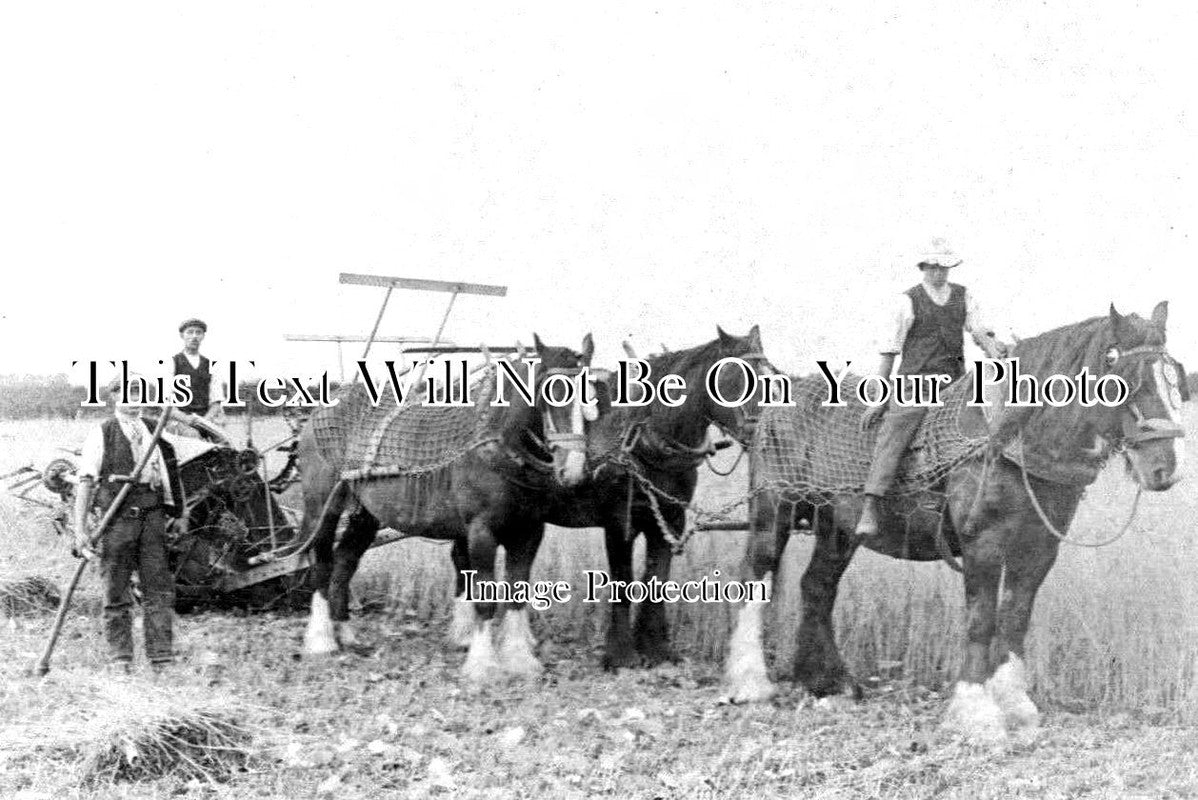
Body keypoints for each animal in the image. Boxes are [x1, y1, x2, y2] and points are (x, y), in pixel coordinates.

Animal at [297, 332, 596, 680]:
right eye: (552, 394)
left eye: (592, 396)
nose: (573, 470)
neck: (499, 445)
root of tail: (324, 407)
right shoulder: (481, 532)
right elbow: (484, 597)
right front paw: (483, 665)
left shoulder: (530, 531)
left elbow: (517, 593)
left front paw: (520, 659)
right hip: (321, 508)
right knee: (322, 563)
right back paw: (322, 641)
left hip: (365, 514)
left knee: (345, 563)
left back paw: (345, 633)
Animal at [450, 325, 776, 670]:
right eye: (738, 377)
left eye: (771, 375)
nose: (766, 434)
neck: (647, 442)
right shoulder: (620, 522)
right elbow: (623, 580)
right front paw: (621, 653)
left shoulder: (670, 519)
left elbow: (658, 578)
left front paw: (656, 648)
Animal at [723, 301, 1183, 742]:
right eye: (1127, 378)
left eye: (1172, 378)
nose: (1165, 469)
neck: (1005, 439)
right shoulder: (984, 545)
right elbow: (981, 621)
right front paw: (976, 711)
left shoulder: (1037, 550)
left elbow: (1015, 619)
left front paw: (1015, 703)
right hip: (773, 510)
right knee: (756, 575)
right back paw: (750, 684)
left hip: (838, 527)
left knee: (817, 587)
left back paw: (830, 684)